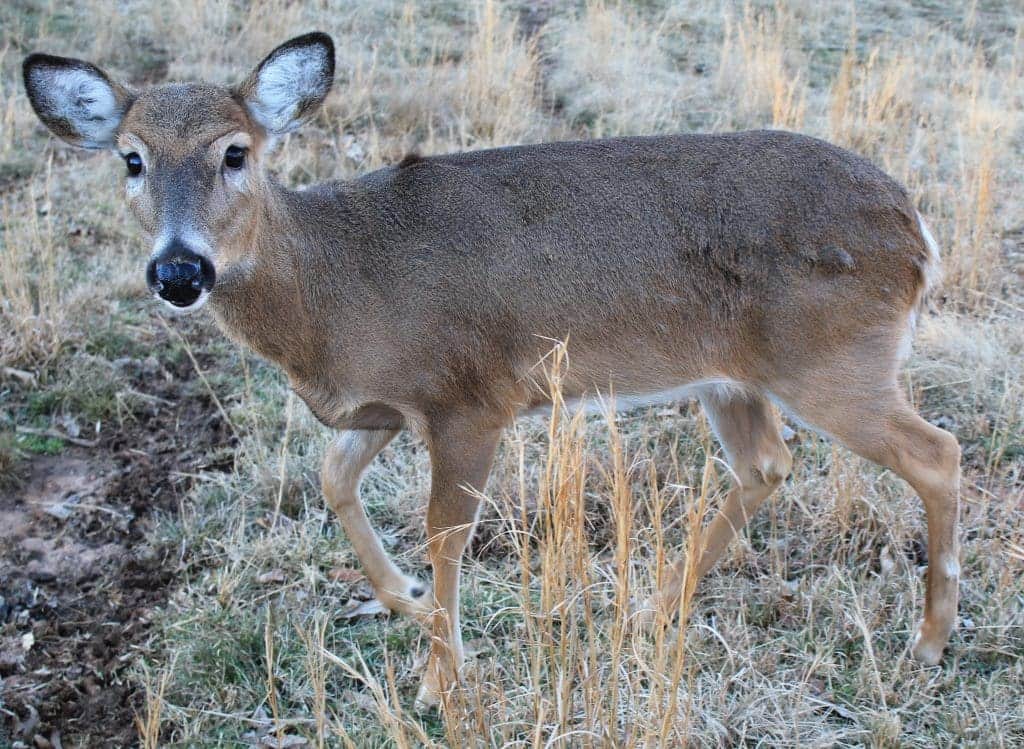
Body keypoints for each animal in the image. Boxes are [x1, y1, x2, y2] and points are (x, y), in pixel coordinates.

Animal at [23, 32, 961, 708]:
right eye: (131, 158)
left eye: (235, 152)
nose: (180, 270)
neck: (337, 287)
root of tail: (917, 230)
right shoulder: (386, 405)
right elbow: (332, 478)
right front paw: (404, 598)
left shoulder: (471, 395)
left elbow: (446, 530)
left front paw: (440, 680)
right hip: (733, 379)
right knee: (768, 463)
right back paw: (654, 605)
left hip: (833, 358)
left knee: (937, 453)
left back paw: (929, 639)